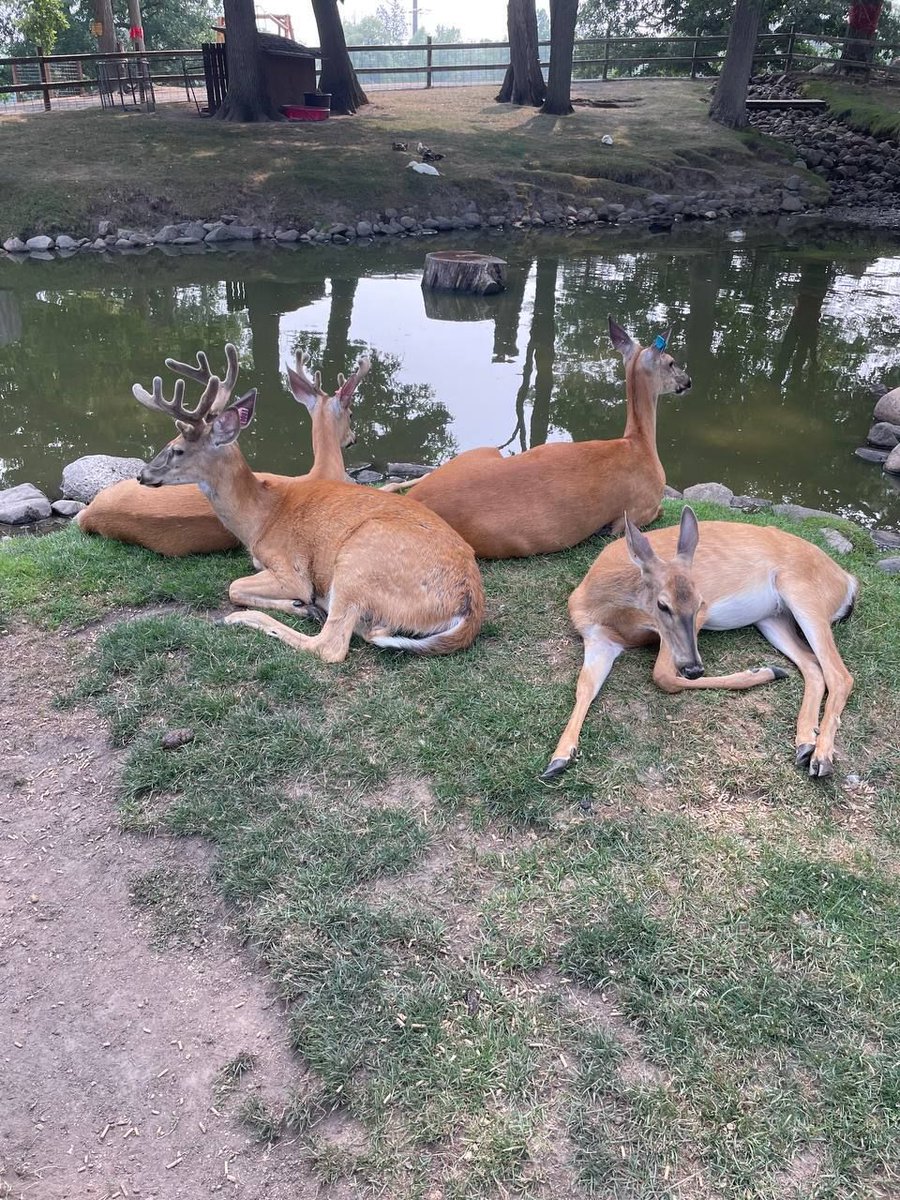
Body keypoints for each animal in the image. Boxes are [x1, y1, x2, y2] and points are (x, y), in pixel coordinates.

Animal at [132, 344, 485, 662]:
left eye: (177, 449)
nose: (142, 474)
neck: (260, 518)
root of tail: (469, 605)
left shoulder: (290, 568)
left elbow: (235, 587)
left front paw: (300, 605)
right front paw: (299, 606)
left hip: (357, 561)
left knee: (330, 646)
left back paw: (250, 617)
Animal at [379, 317, 691, 559]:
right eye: (672, 362)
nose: (688, 381)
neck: (639, 444)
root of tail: (417, 504)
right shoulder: (640, 510)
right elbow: (657, 512)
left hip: (479, 452)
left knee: (400, 481)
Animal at [543, 506, 858, 782]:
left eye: (700, 601)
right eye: (663, 604)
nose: (695, 668)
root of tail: (848, 580)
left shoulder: (691, 623)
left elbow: (662, 675)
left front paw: (761, 672)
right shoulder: (598, 639)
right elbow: (584, 687)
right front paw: (558, 758)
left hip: (805, 595)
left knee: (840, 674)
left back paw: (821, 758)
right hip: (772, 618)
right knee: (813, 666)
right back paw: (805, 742)